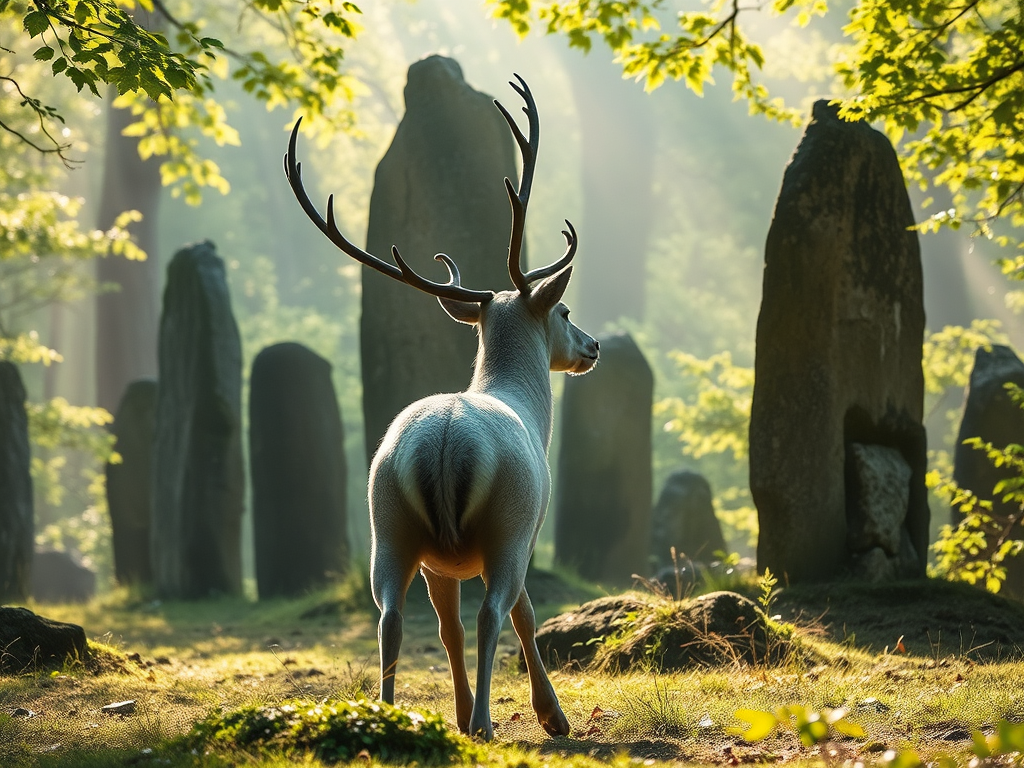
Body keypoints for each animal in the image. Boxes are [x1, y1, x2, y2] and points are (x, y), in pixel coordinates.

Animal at [284, 74, 599, 741]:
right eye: (562, 310)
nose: (593, 347)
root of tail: (447, 444)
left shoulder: (439, 564)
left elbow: (446, 629)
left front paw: (454, 714)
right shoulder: (531, 528)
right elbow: (525, 614)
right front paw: (550, 717)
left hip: (387, 523)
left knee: (391, 617)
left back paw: (386, 714)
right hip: (505, 524)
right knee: (492, 614)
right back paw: (485, 723)